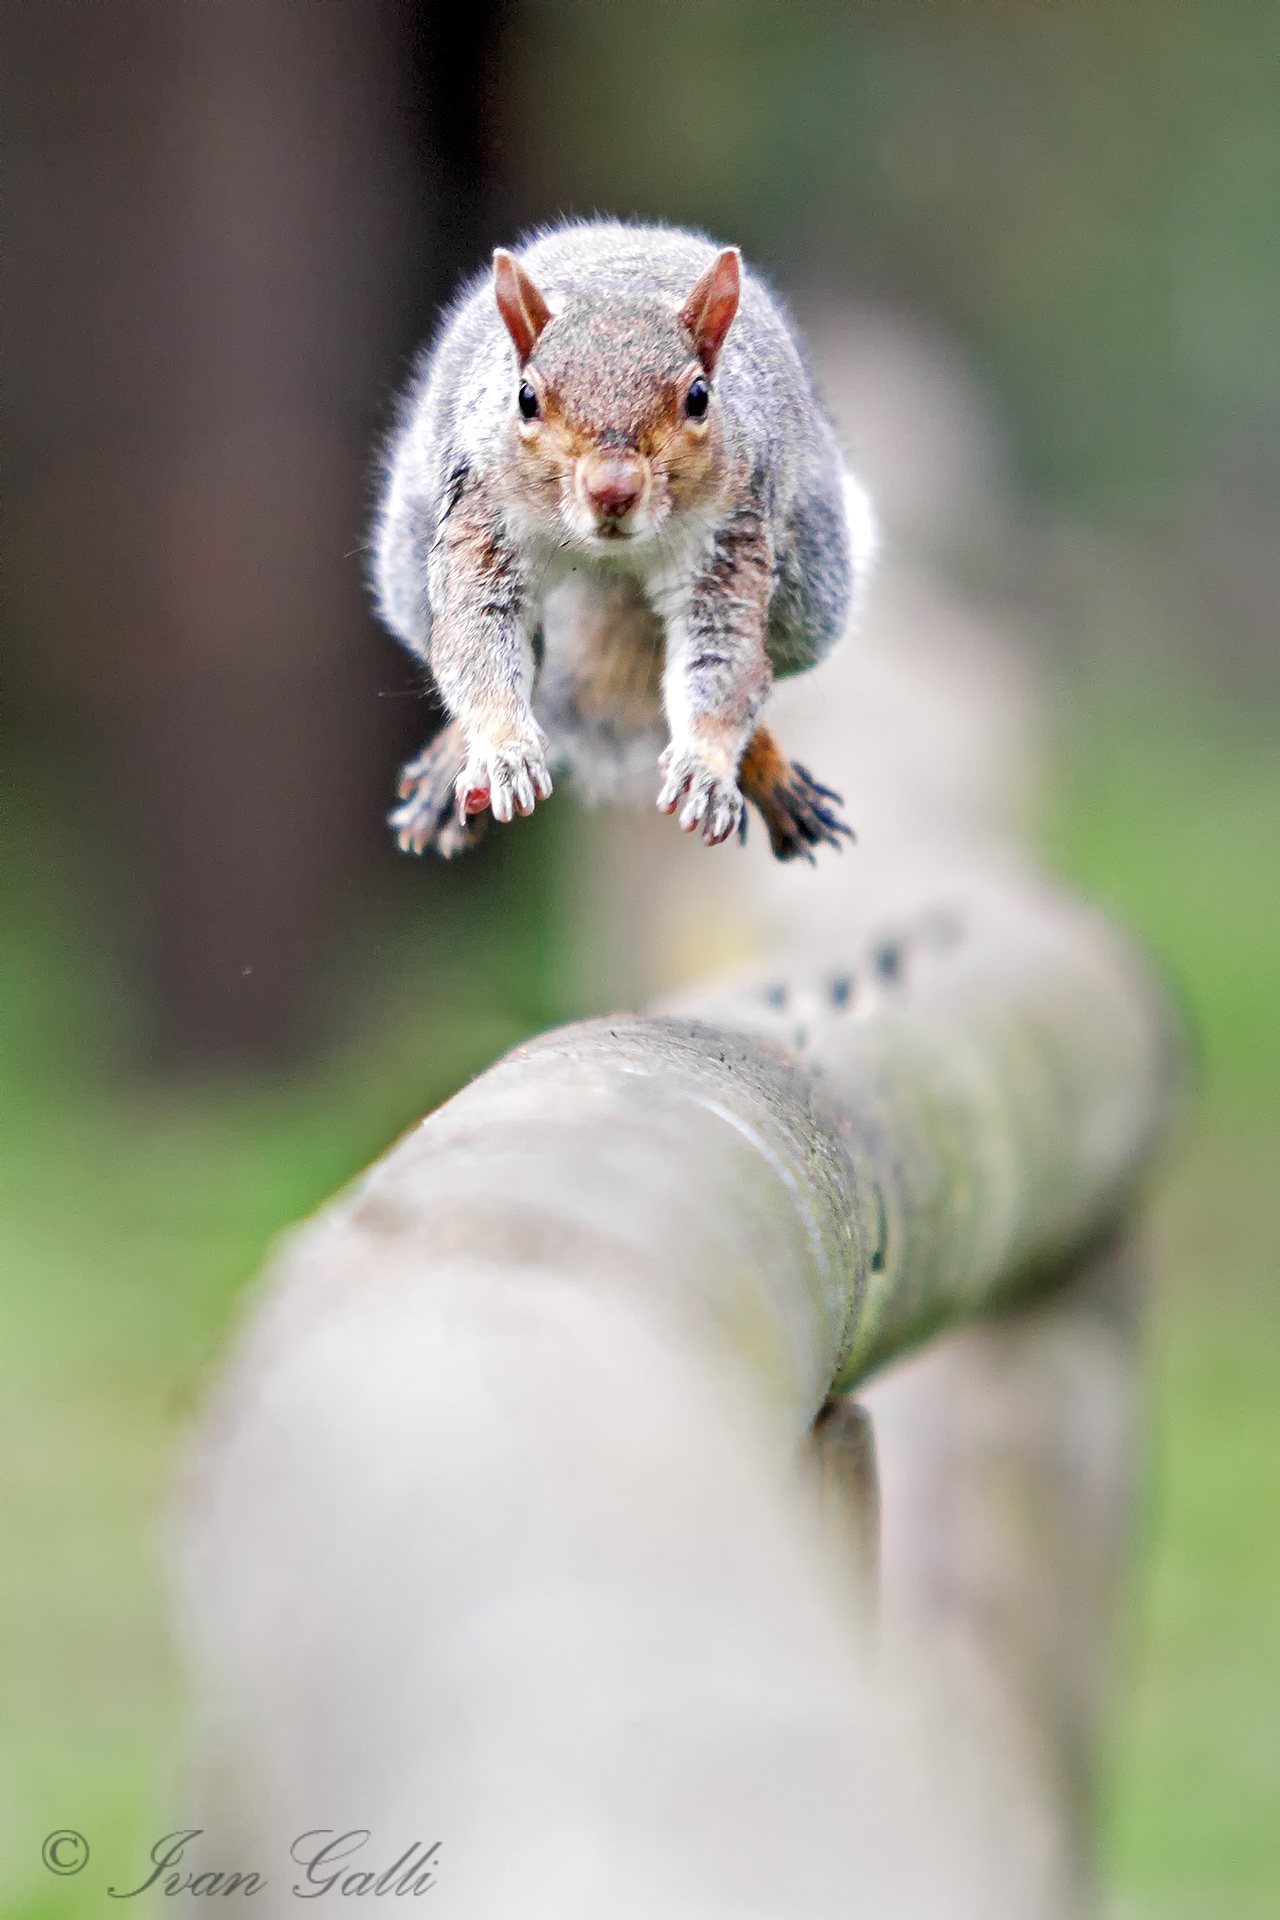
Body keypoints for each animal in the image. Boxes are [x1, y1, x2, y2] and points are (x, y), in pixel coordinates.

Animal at [372, 219, 877, 861]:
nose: (613, 488)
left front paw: (707, 770)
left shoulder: (730, 535)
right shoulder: (482, 515)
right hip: (408, 561)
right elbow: (476, 637)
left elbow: (727, 659)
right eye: (525, 397)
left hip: (815, 588)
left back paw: (764, 763)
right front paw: (503, 750)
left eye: (699, 397)